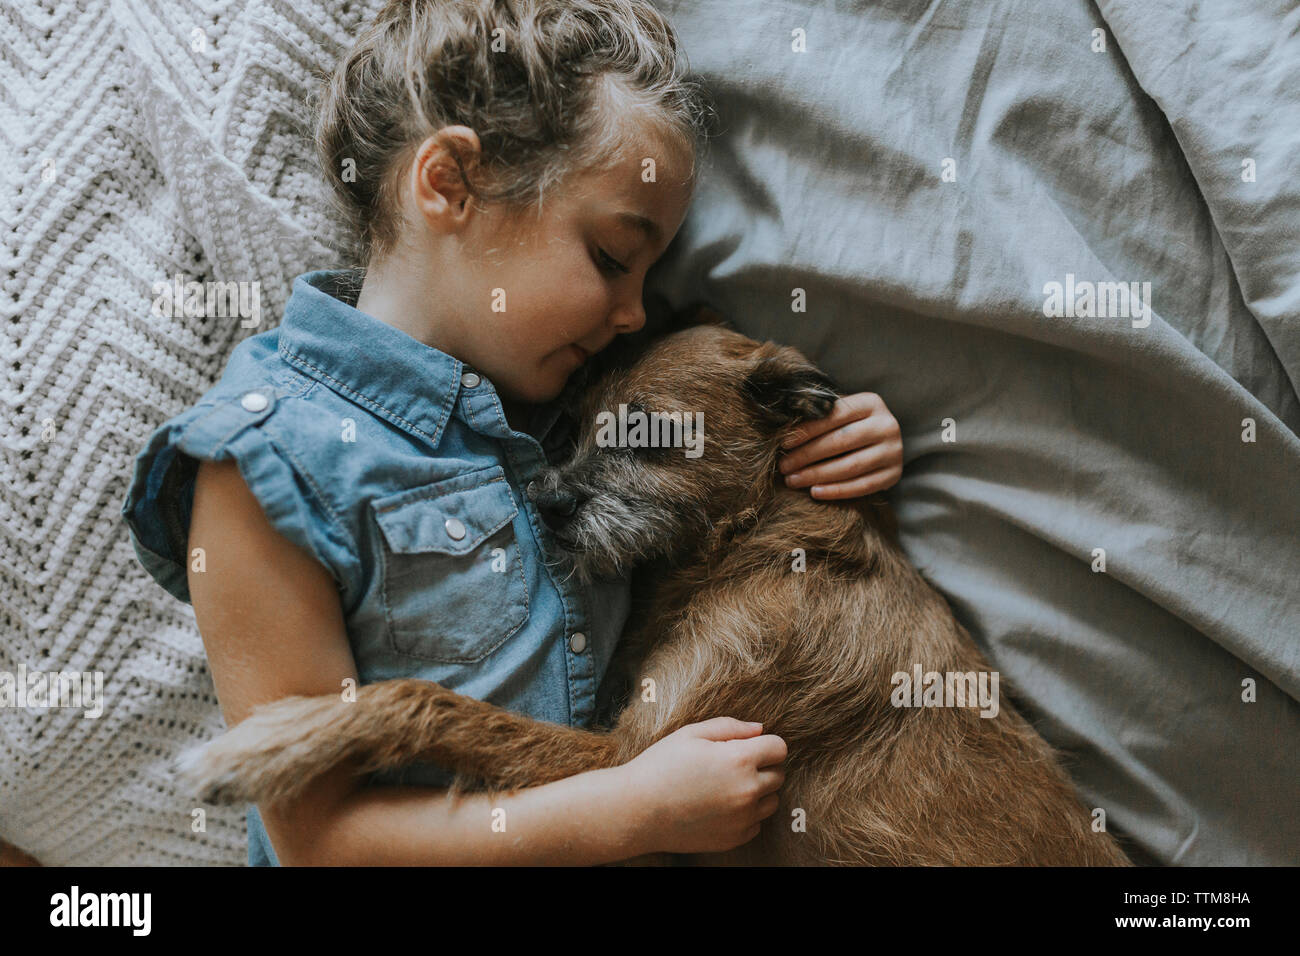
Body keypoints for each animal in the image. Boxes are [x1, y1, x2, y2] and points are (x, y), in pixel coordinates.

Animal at [180, 319, 1128, 868]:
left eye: (653, 434)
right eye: (568, 424)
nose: (551, 504)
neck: (758, 544)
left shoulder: (630, 758)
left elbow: (431, 702)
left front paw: (267, 746)